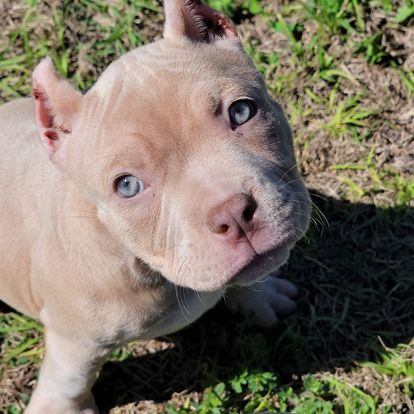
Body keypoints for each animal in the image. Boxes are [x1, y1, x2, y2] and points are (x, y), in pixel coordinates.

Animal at [0, 0, 310, 412]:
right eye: (127, 186)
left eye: (242, 112)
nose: (232, 213)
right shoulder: (74, 340)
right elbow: (70, 377)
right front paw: (62, 406)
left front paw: (259, 297)